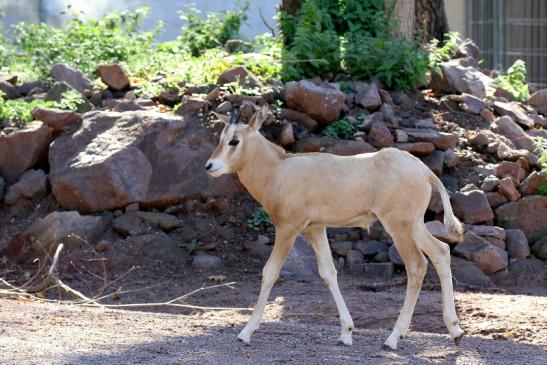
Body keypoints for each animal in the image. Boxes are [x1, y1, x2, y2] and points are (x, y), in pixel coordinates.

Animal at [206, 104, 466, 348]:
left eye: (234, 140)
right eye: (221, 138)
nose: (210, 166)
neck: (278, 169)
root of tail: (424, 170)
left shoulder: (288, 228)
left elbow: (270, 272)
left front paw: (246, 332)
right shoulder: (315, 229)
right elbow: (328, 273)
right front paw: (346, 333)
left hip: (398, 225)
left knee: (416, 266)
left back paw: (393, 338)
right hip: (414, 224)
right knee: (440, 251)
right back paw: (455, 330)